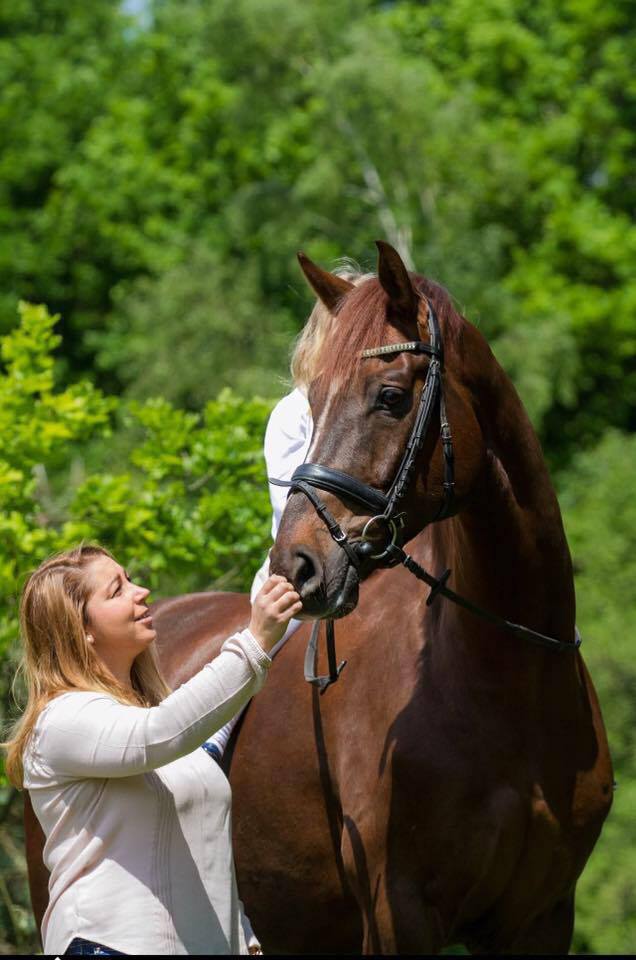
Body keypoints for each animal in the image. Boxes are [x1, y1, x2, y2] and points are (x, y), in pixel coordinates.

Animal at [23, 242, 612, 952]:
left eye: (391, 397)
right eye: (315, 399)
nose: (297, 568)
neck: (507, 683)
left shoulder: (540, 917)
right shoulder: (398, 914)